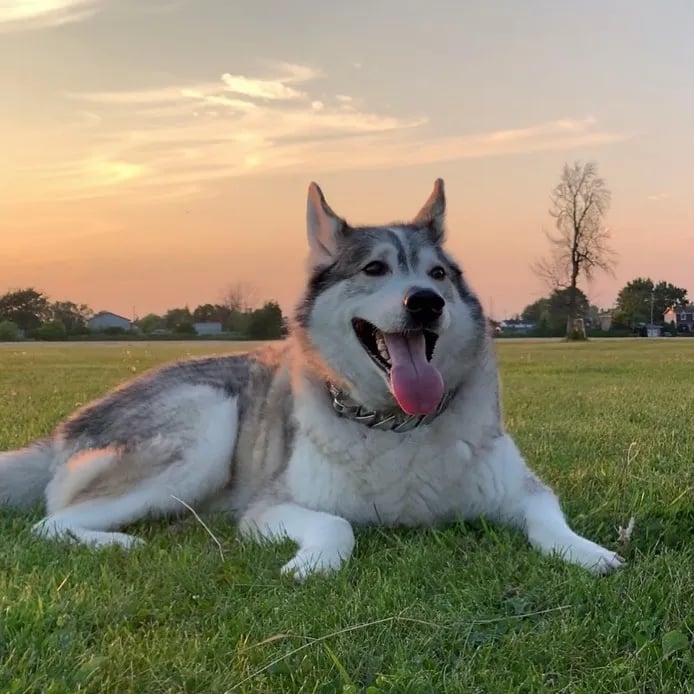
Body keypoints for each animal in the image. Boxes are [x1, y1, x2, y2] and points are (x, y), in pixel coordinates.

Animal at [0, 177, 624, 580]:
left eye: (439, 274)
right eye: (374, 268)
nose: (426, 302)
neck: (397, 424)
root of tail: (61, 431)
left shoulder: (526, 492)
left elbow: (552, 525)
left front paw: (591, 554)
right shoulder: (268, 510)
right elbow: (336, 527)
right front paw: (312, 564)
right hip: (204, 427)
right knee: (50, 523)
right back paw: (119, 541)